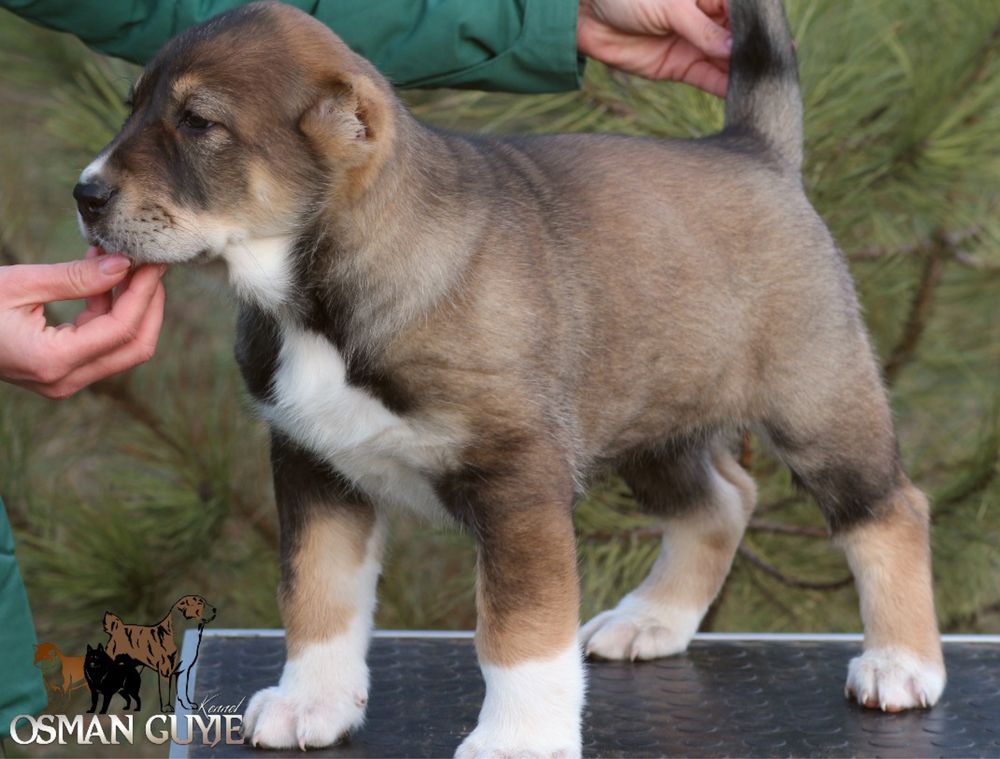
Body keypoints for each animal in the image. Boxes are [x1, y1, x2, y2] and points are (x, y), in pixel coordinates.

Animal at [76, 0, 944, 756]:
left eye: (199, 123)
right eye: (132, 107)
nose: (85, 194)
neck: (317, 300)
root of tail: (752, 148)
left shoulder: (516, 483)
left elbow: (517, 631)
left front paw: (518, 737)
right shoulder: (314, 468)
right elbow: (317, 594)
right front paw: (311, 701)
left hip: (817, 402)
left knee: (888, 511)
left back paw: (902, 662)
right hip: (651, 424)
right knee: (723, 501)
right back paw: (655, 620)